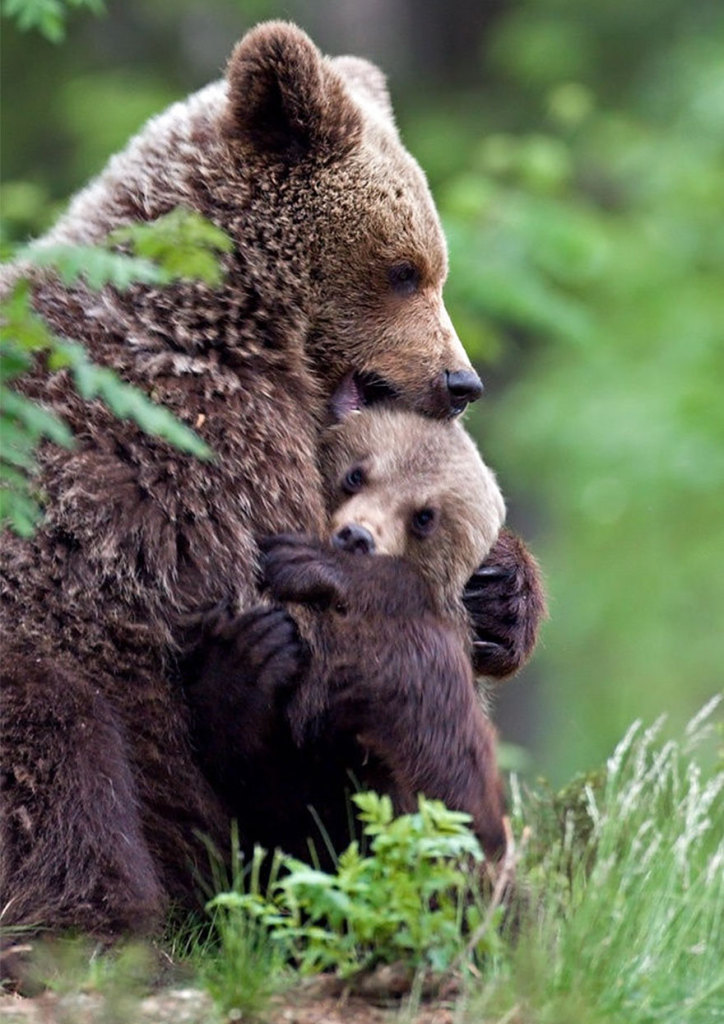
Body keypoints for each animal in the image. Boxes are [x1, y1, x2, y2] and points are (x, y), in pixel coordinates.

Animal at [0, 19, 544, 937]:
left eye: (435, 268)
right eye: (403, 268)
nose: (461, 382)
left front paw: (502, 593)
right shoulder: (195, 449)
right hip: (41, 647)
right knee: (62, 759)